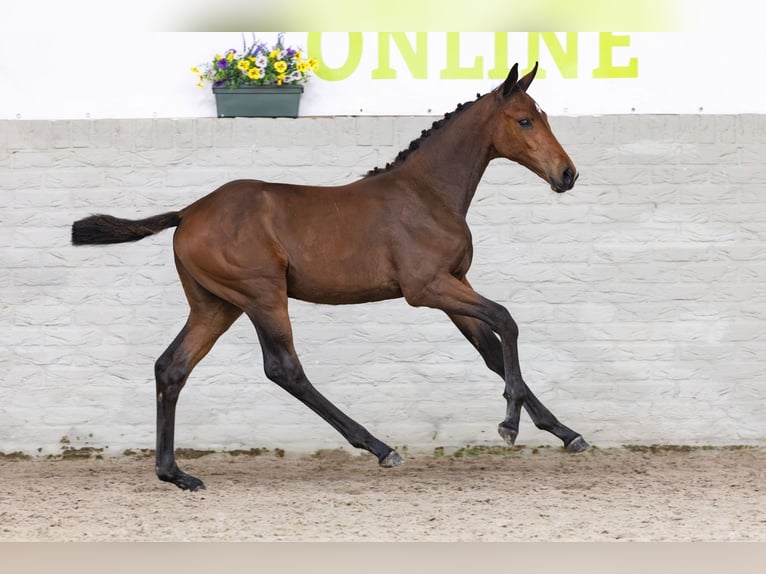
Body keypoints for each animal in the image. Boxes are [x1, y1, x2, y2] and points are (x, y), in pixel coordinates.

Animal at [71, 63, 586, 491]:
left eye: (541, 116)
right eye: (524, 121)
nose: (568, 174)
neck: (427, 194)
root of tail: (187, 213)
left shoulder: (455, 284)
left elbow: (492, 351)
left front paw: (566, 433)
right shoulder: (427, 289)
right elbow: (507, 321)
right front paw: (510, 425)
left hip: (216, 305)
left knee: (172, 367)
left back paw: (175, 474)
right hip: (262, 296)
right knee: (284, 368)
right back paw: (380, 447)